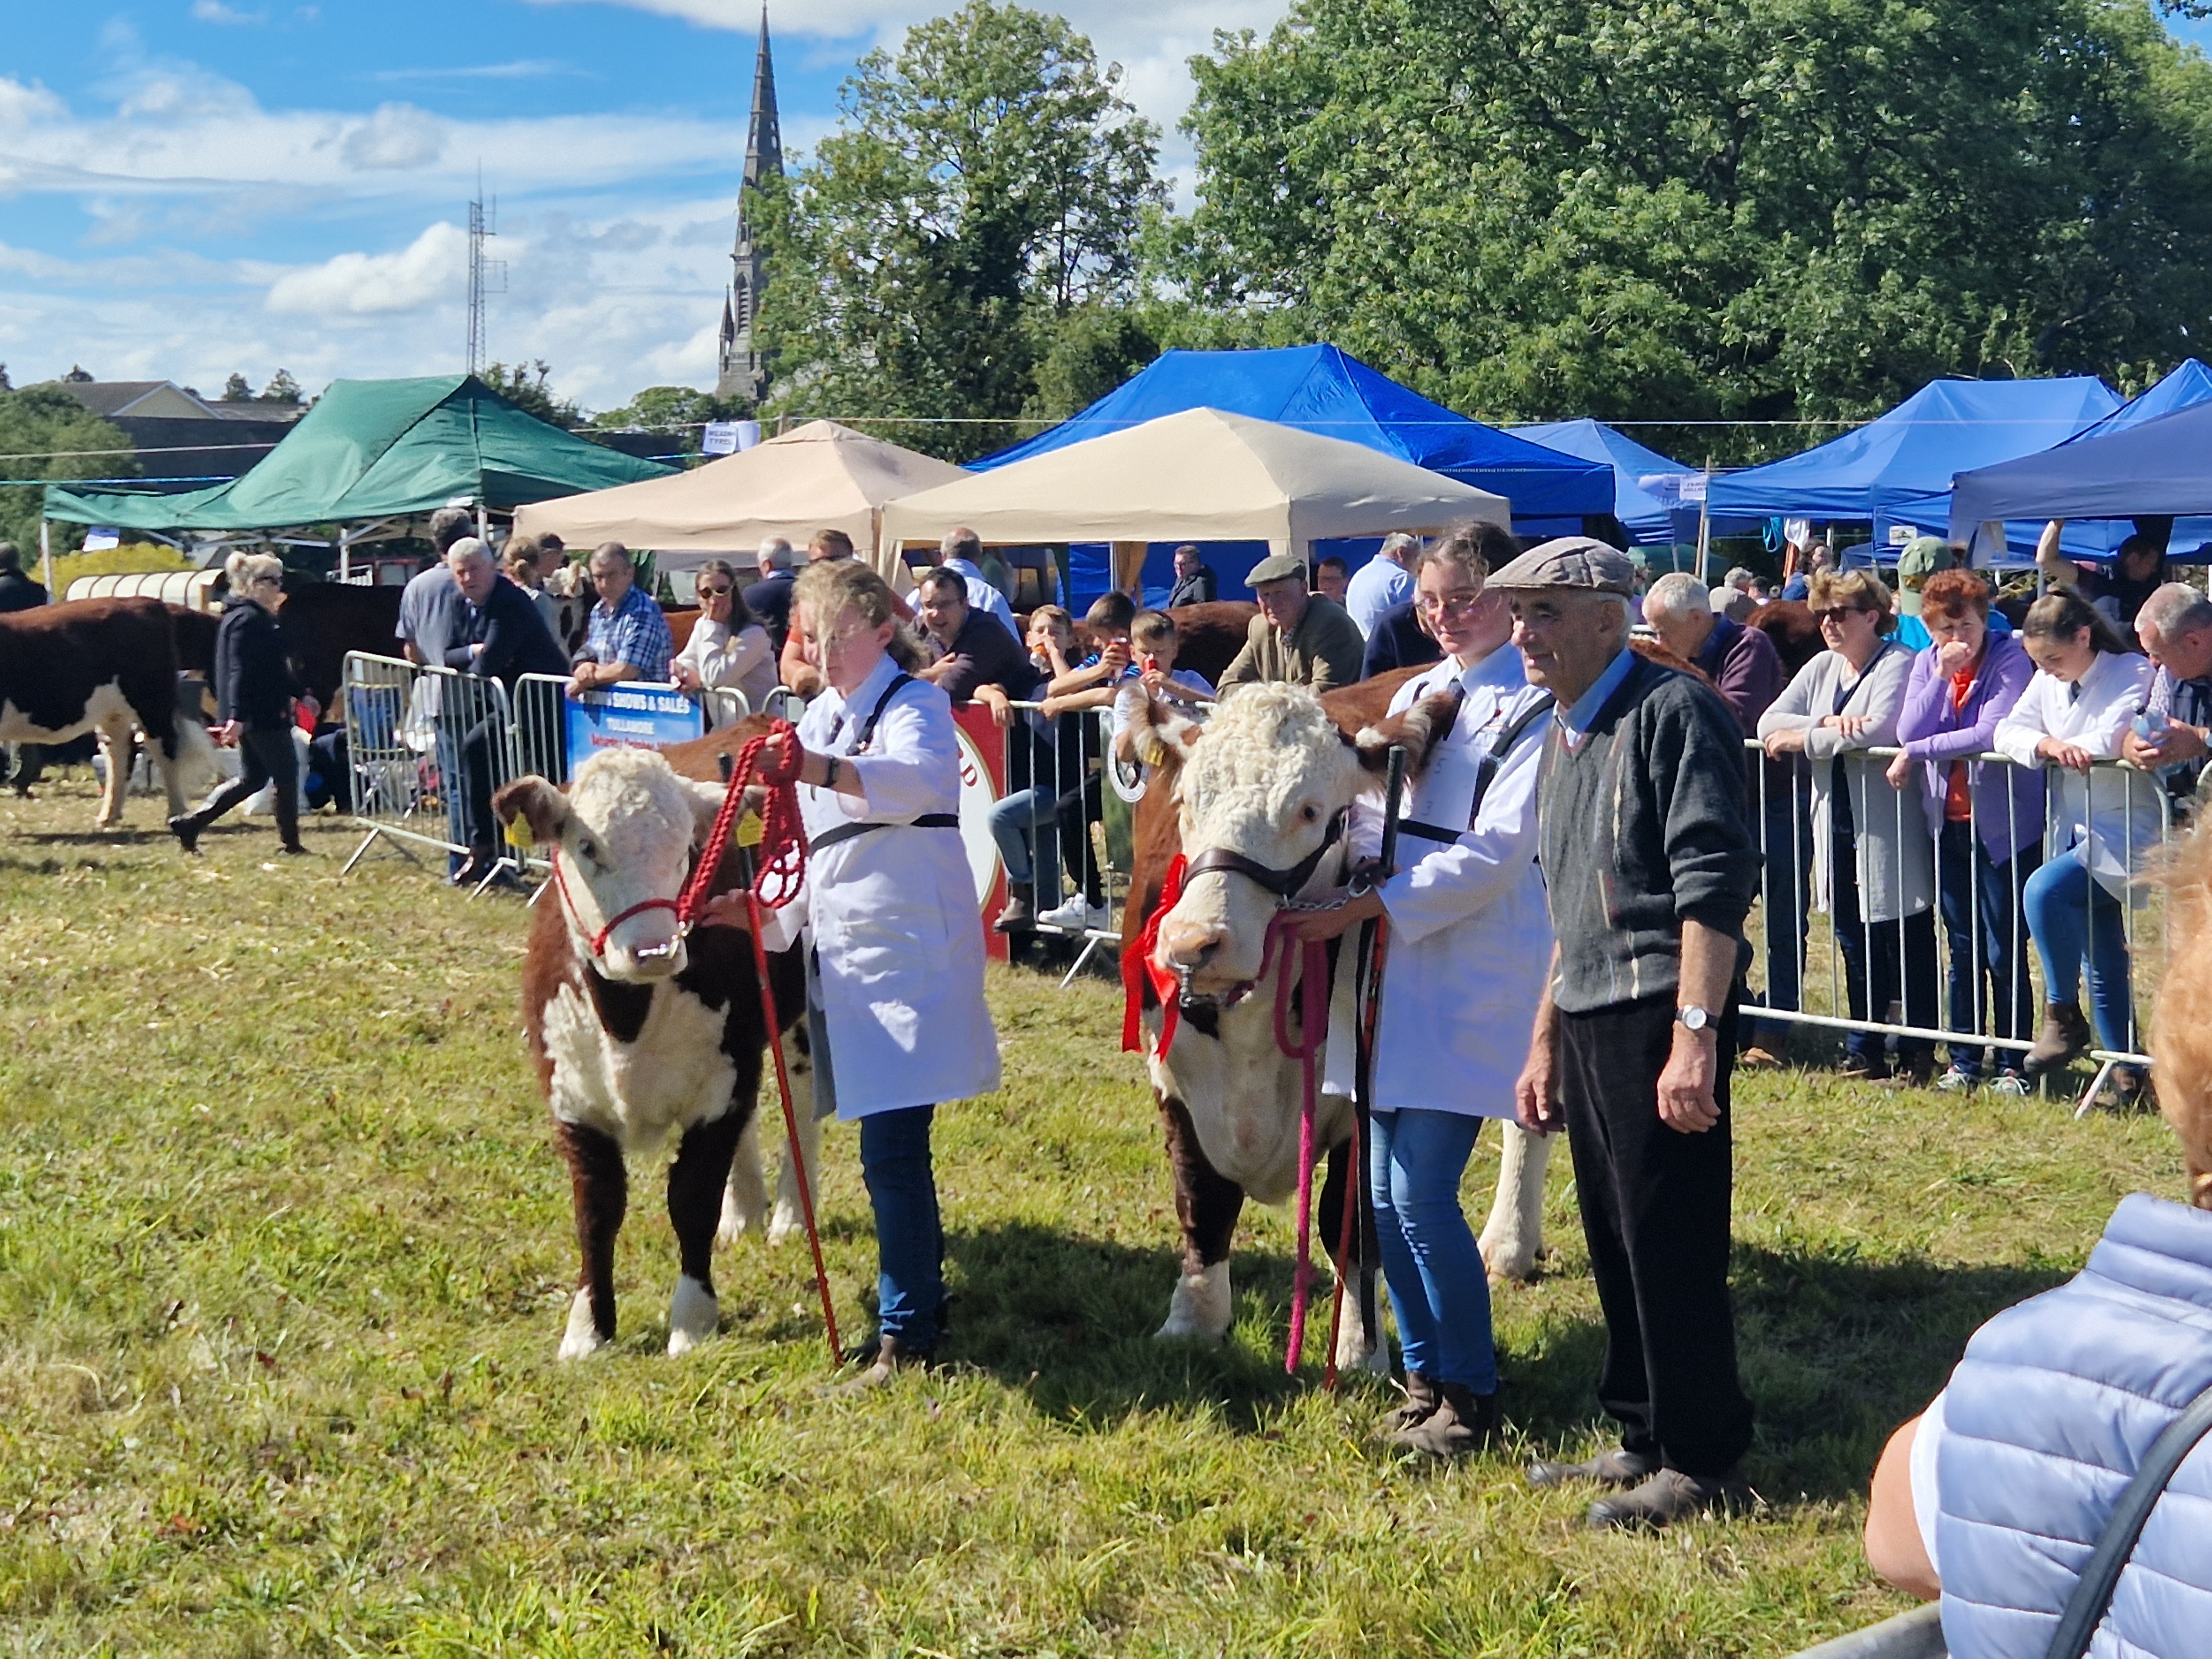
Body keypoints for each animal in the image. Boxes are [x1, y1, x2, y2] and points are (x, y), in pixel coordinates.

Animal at [0, 598, 221, 828]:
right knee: (119, 754)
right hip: (114, 712)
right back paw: (108, 816)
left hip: (152, 703)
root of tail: (147, 602)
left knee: (164, 750)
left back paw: (175, 813)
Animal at [493, 739, 806, 1359]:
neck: (625, 1019)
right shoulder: (569, 1096)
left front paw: (692, 1319)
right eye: (586, 845)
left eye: (687, 849)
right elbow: (596, 1208)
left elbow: (691, 1198)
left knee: (803, 1105)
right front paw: (587, 1327)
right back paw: (745, 1213)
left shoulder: (721, 1085)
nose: (655, 950)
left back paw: (789, 1215)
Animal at [1118, 677, 1556, 1373]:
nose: (1194, 941)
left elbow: (1347, 1219)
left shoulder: (1361, 1097)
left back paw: (1507, 1245)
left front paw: (1358, 1346)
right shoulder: (1174, 1079)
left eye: (1308, 810)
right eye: (1188, 800)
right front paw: (1192, 1324)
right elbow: (1202, 1201)